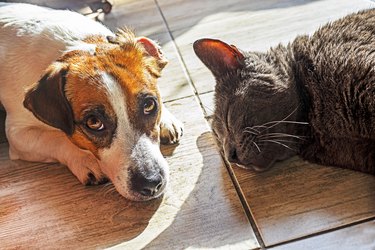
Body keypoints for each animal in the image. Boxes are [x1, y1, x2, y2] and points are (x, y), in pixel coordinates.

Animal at [0, 2, 184, 200]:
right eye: (94, 122)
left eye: (150, 105)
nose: (150, 184)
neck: (75, 46)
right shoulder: (18, 135)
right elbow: (57, 138)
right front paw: (84, 159)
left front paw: (166, 119)